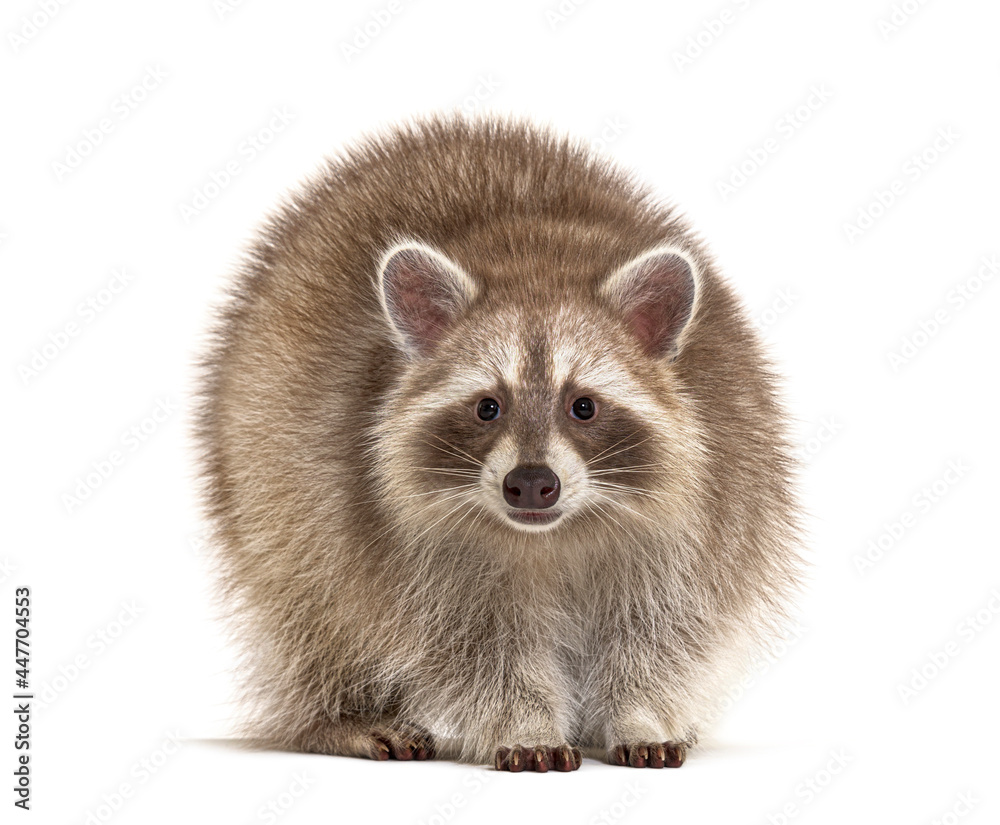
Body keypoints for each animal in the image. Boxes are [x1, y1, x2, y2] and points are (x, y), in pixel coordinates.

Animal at [197, 116, 796, 772]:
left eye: (583, 406)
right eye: (489, 406)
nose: (531, 483)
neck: (554, 535)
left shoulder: (713, 502)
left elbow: (663, 630)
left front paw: (642, 712)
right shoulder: (402, 546)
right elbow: (475, 648)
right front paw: (527, 723)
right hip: (264, 483)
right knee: (307, 606)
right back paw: (339, 715)